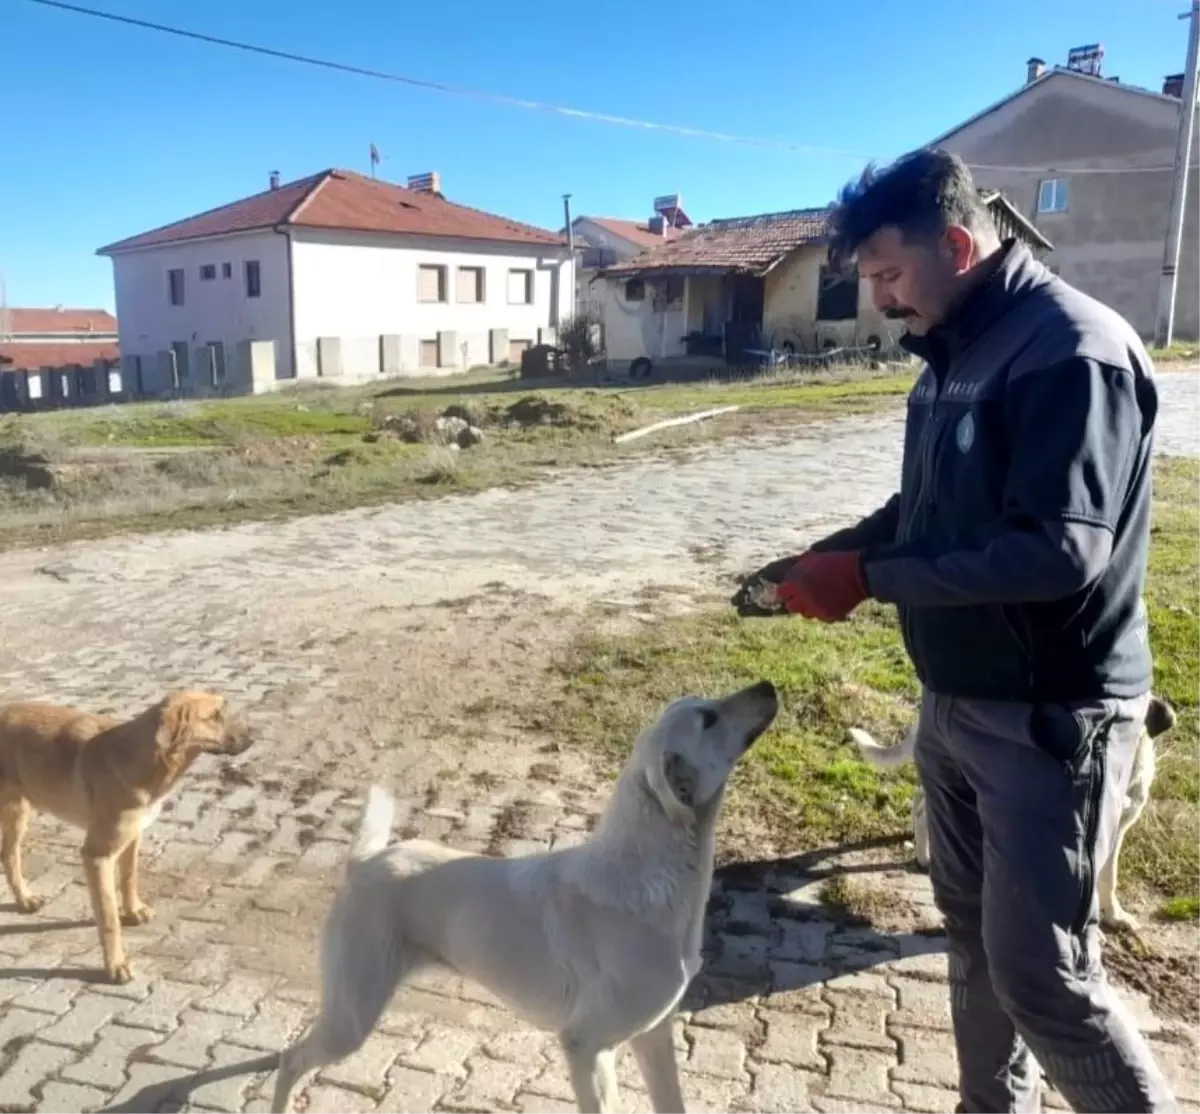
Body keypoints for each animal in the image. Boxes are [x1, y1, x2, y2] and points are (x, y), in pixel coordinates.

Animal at [0, 686, 250, 984]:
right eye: (214, 717)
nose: (252, 737)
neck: (145, 761)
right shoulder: (96, 855)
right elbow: (108, 917)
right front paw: (115, 964)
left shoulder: (132, 838)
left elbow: (129, 879)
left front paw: (134, 911)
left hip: (19, 811)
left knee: (8, 856)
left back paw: (24, 898)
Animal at [271, 677, 777, 1114]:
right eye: (708, 718)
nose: (768, 685)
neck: (649, 878)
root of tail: (366, 861)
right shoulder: (584, 1046)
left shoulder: (652, 1037)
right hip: (352, 1017)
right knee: (289, 1061)